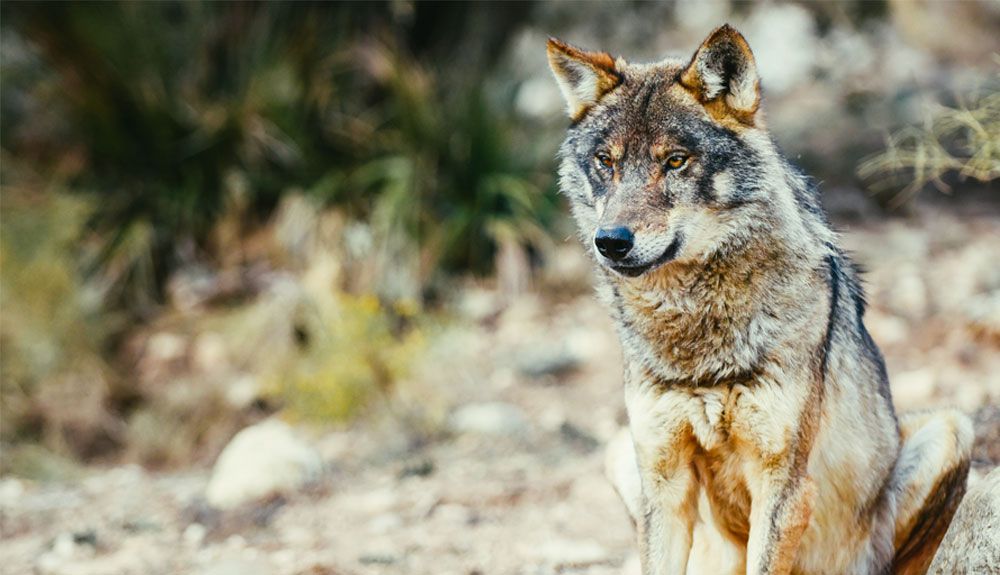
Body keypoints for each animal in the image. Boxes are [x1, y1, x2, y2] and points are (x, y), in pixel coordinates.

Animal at [546, 25, 973, 575]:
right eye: (607, 163)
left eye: (675, 161)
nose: (611, 241)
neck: (697, 331)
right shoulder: (663, 481)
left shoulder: (784, 485)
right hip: (621, 451)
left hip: (951, 429)